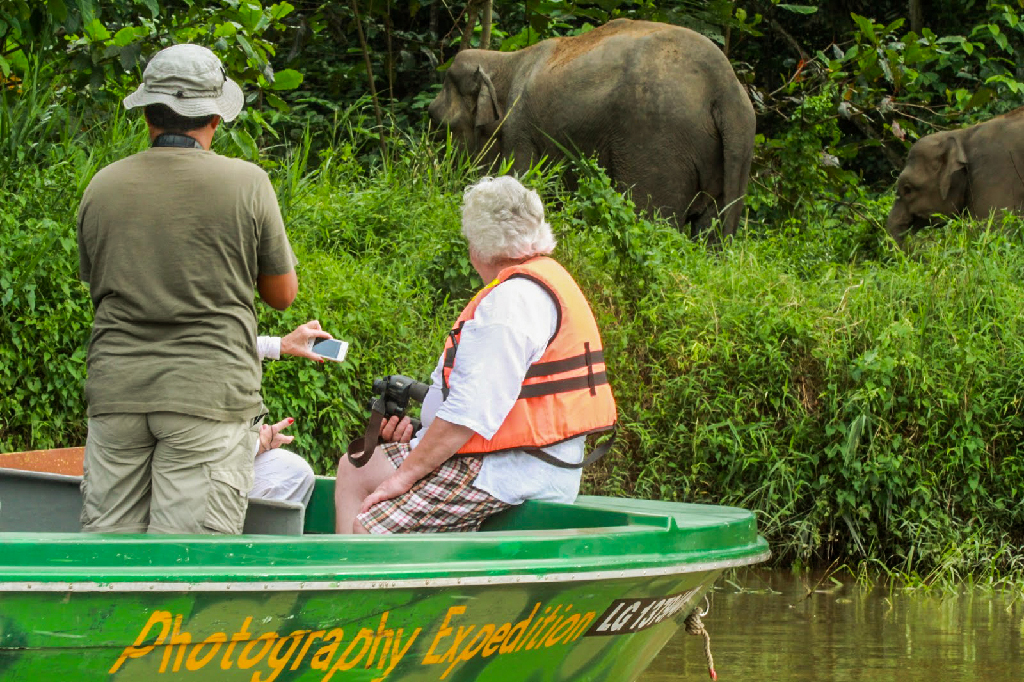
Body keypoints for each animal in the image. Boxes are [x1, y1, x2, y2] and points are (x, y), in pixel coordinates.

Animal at [423, 18, 753, 240]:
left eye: (440, 125)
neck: (505, 61)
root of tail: (724, 86)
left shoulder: (520, 130)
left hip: (657, 142)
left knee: (654, 220)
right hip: (735, 152)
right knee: (712, 229)